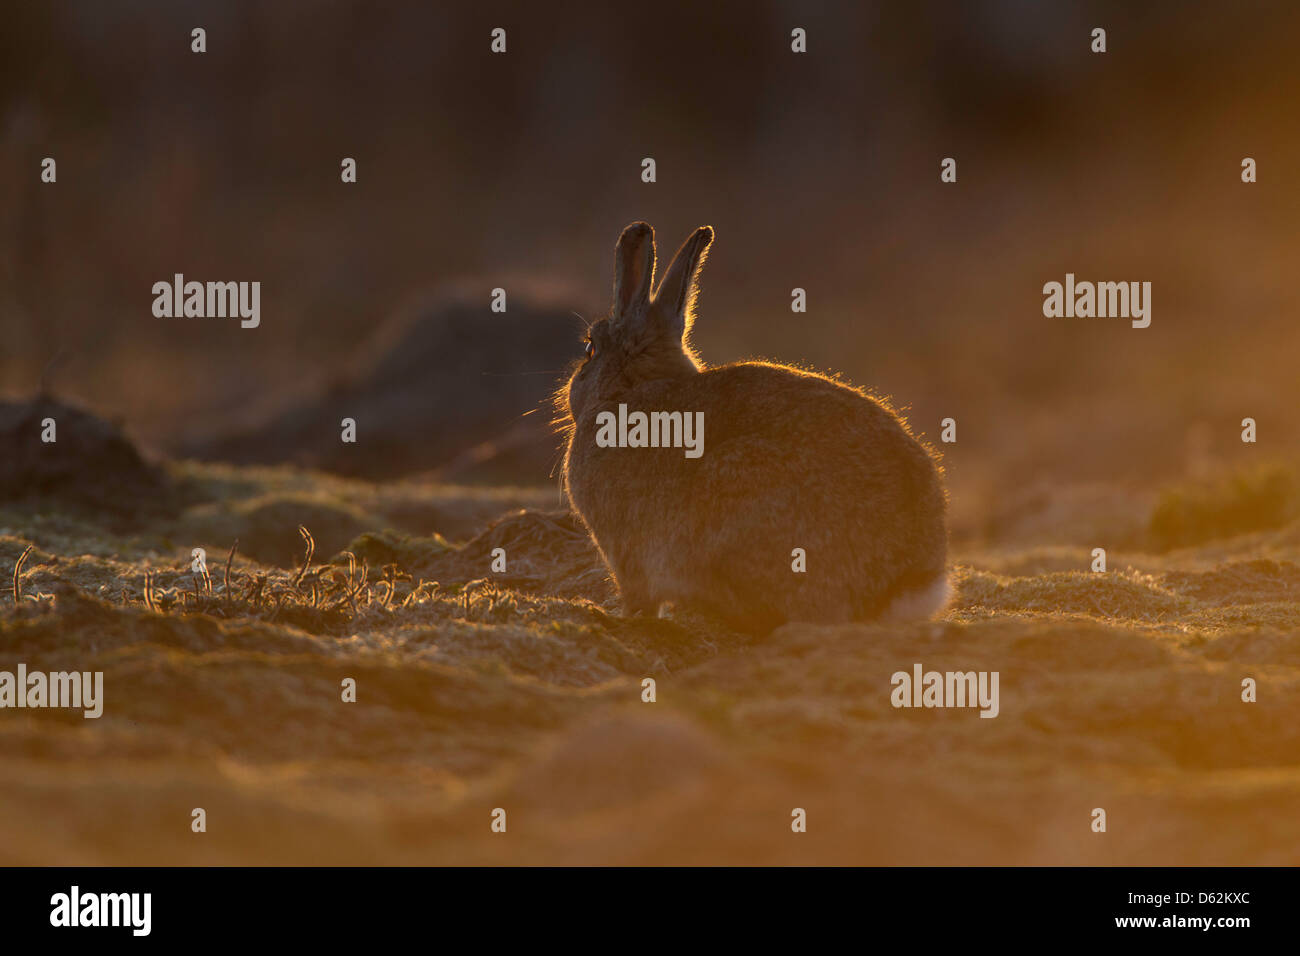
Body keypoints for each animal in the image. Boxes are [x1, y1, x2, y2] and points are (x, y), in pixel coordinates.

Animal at [553, 221, 951, 632]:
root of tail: (900, 585)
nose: (566, 393)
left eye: (589, 351)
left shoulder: (625, 557)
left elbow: (639, 598)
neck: (628, 389)